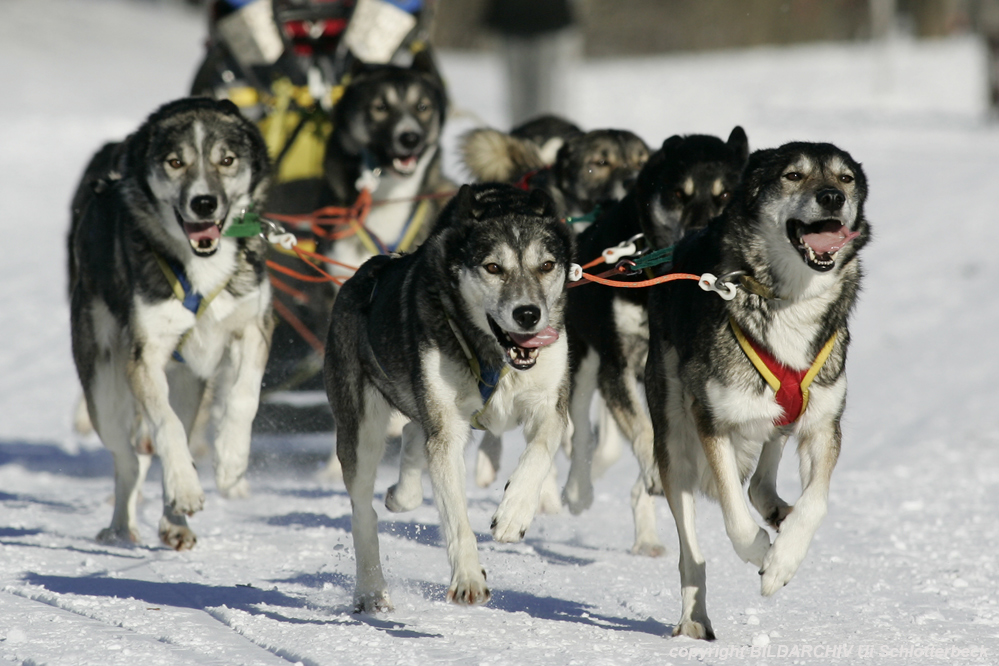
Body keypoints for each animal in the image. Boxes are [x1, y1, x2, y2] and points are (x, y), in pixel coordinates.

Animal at [70, 96, 274, 548]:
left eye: (227, 160)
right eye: (176, 162)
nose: (204, 203)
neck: (202, 266)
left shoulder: (253, 327)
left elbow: (244, 397)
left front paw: (231, 460)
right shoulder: (143, 357)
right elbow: (167, 428)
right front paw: (182, 485)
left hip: (188, 382)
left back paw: (173, 522)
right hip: (104, 389)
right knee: (130, 458)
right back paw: (123, 524)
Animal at [328, 183, 576, 612]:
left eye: (546, 266)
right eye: (493, 268)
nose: (528, 314)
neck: (494, 355)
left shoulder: (549, 406)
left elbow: (540, 451)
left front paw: (513, 513)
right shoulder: (449, 432)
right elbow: (457, 518)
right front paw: (468, 578)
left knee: (413, 435)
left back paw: (403, 493)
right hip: (360, 431)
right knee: (364, 513)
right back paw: (371, 590)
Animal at [564, 127, 752, 552]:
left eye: (724, 196)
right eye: (679, 194)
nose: (699, 236)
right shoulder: (615, 365)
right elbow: (642, 432)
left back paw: (646, 535)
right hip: (583, 363)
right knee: (580, 430)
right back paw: (576, 490)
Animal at [648, 141, 868, 640]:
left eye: (845, 178)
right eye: (793, 175)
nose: (831, 197)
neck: (790, 300)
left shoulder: (823, 425)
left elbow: (816, 502)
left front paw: (784, 558)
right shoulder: (713, 421)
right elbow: (733, 515)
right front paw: (761, 554)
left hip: (781, 419)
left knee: (762, 485)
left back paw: (778, 514)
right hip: (674, 440)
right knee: (693, 549)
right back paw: (694, 618)